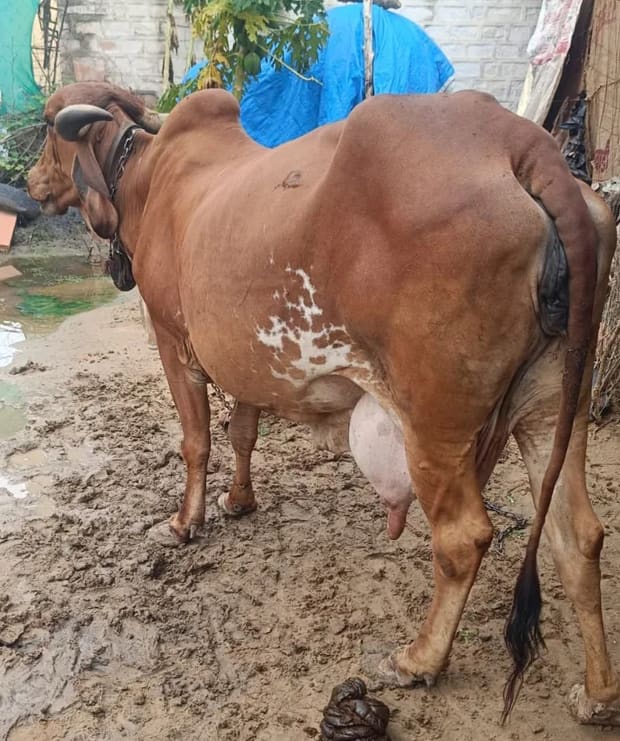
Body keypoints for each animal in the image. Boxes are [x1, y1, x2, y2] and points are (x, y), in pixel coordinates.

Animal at [28, 82, 618, 724]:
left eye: (47, 127)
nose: (30, 182)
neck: (146, 175)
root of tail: (523, 143)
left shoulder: (171, 340)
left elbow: (196, 441)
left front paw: (184, 524)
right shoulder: (246, 358)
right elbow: (242, 433)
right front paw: (239, 501)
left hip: (435, 423)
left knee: (463, 538)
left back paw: (417, 661)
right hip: (554, 405)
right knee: (578, 535)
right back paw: (597, 694)